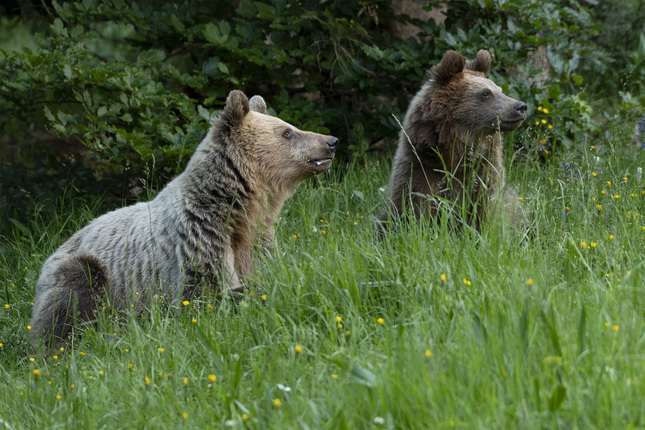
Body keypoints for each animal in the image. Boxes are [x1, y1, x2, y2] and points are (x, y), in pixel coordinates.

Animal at [30, 90, 340, 346]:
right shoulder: (198, 238)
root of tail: (60, 244)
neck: (238, 209)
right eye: (287, 132)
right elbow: (205, 294)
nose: (331, 141)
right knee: (70, 298)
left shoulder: (256, 239)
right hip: (89, 271)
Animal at [374, 49, 524, 232]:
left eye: (501, 91)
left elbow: (481, 210)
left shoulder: (483, 172)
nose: (520, 106)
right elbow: (409, 208)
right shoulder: (422, 168)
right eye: (485, 93)